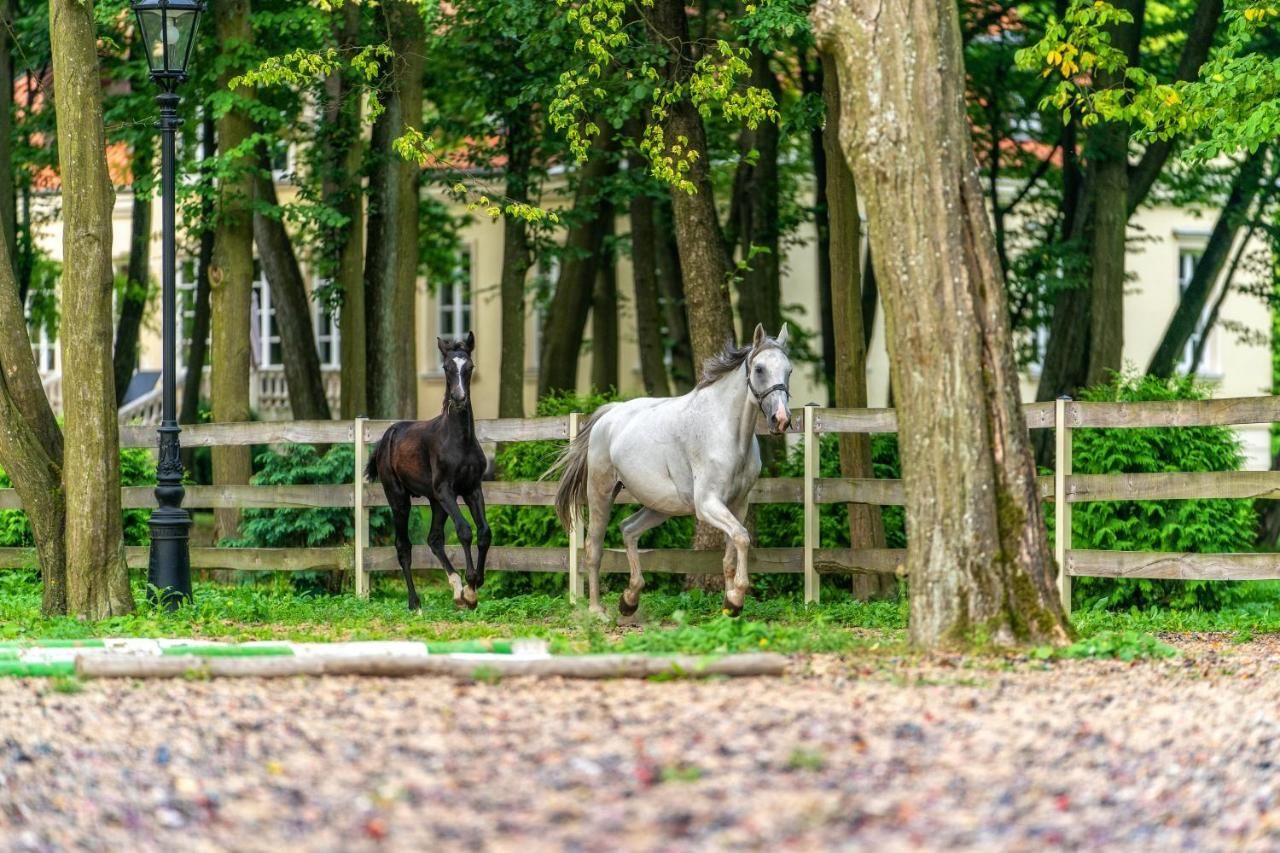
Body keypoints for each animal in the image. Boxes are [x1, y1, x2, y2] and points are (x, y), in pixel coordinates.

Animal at [550, 322, 788, 614]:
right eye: (759, 369)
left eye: (789, 370)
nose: (781, 420)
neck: (727, 433)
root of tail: (610, 414)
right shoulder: (707, 504)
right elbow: (742, 538)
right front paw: (735, 598)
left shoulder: (738, 505)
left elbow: (733, 550)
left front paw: (730, 605)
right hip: (600, 493)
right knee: (594, 546)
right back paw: (597, 611)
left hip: (661, 506)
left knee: (628, 529)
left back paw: (629, 599)